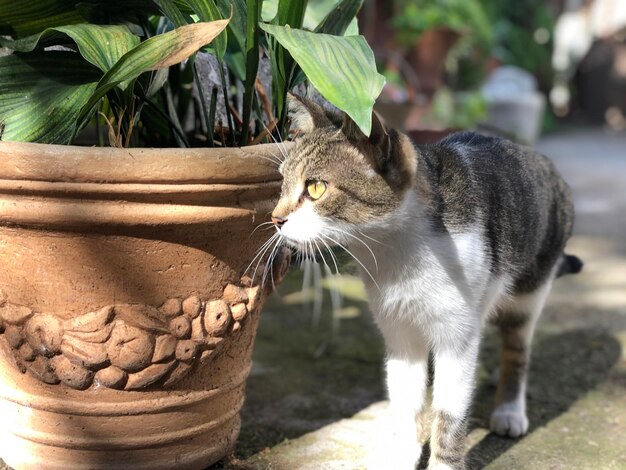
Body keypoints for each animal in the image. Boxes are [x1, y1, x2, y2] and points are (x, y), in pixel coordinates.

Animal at [266, 93, 580, 468]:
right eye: (282, 183)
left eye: (315, 188)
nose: (275, 218)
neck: (397, 253)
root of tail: (540, 158)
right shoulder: (399, 332)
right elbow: (406, 402)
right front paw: (402, 455)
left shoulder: (457, 337)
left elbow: (449, 413)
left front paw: (443, 461)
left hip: (530, 289)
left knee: (518, 348)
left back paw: (509, 410)